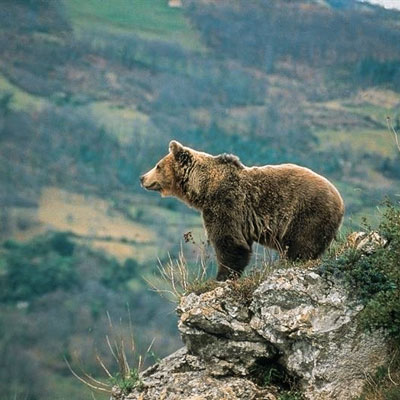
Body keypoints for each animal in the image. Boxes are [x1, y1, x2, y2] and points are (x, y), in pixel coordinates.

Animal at [141, 142, 344, 280]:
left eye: (158, 165)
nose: (142, 177)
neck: (204, 188)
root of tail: (340, 200)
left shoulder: (226, 204)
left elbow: (229, 242)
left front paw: (221, 276)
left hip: (307, 213)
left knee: (302, 245)